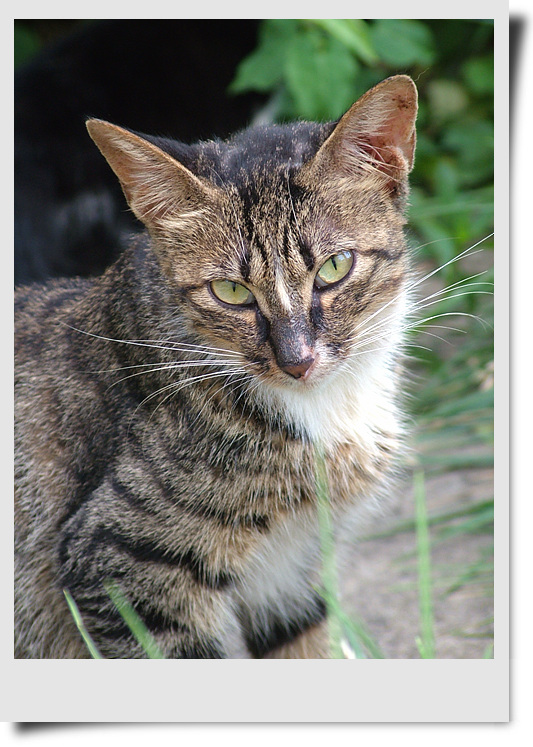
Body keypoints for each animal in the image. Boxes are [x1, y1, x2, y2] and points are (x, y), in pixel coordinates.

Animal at [13, 77, 416, 660]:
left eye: (335, 267)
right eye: (231, 291)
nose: (297, 360)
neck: (327, 408)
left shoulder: (290, 572)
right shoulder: (120, 567)